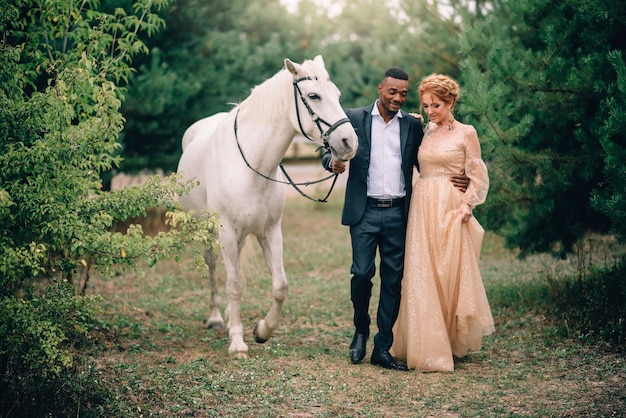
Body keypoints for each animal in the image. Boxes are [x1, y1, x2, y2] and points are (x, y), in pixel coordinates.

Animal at [178, 54, 358, 356]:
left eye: (337, 95)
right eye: (314, 96)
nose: (349, 142)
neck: (252, 165)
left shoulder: (271, 231)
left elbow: (280, 286)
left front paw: (262, 330)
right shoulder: (227, 231)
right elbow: (235, 285)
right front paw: (238, 343)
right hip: (204, 230)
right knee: (214, 267)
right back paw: (216, 318)